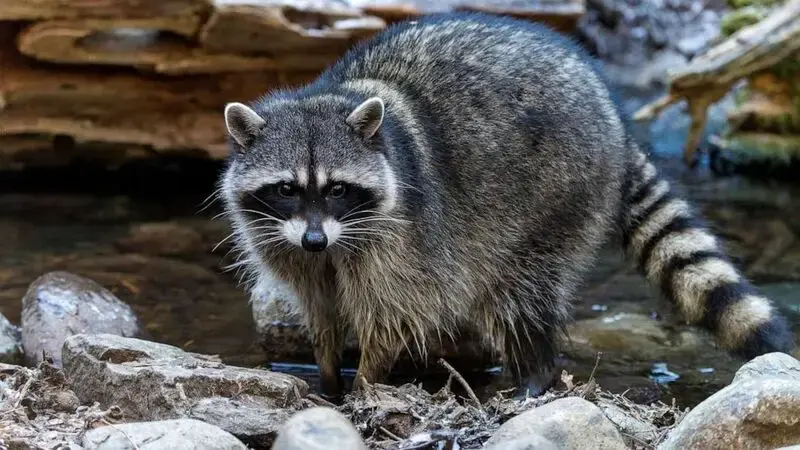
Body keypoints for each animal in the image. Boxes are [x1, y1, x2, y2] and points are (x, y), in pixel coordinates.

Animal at [217, 11, 792, 398]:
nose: (316, 239)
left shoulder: (403, 237)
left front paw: (367, 382)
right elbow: (320, 310)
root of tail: (615, 118)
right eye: (287, 189)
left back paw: (531, 377)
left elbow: (393, 314)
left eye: (337, 188)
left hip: (559, 195)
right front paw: (328, 372)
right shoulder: (287, 243)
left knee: (519, 297)